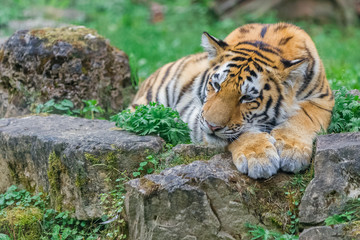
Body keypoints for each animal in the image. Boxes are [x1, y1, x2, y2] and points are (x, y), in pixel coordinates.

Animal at [131, 23, 334, 178]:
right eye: (216, 85)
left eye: (247, 97)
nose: (212, 126)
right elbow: (241, 132)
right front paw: (259, 158)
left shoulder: (323, 98)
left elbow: (304, 117)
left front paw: (292, 151)